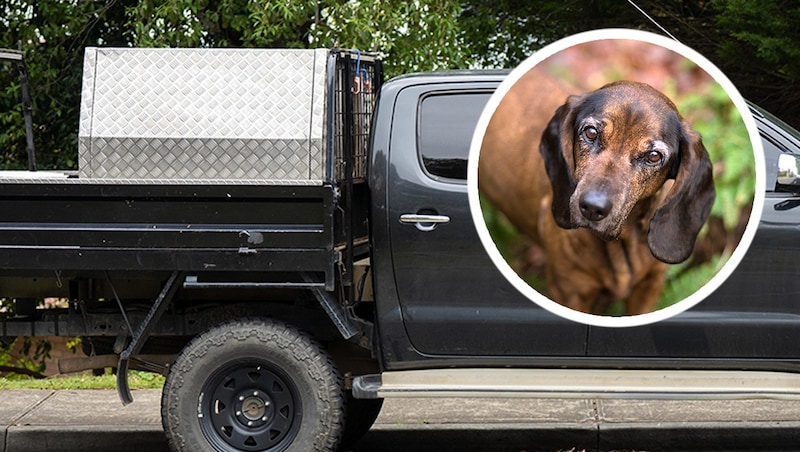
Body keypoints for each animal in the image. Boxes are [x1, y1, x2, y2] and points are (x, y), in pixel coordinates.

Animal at [478, 68, 716, 314]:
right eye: (591, 132)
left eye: (653, 156)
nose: (592, 208)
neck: (623, 243)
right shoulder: (570, 292)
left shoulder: (649, 288)